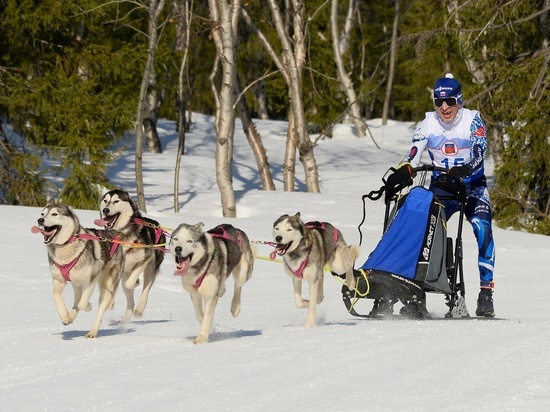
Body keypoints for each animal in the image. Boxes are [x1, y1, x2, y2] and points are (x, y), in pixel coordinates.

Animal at [32, 200, 124, 338]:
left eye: (54, 214)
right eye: (42, 213)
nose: (40, 220)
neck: (64, 246)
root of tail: (114, 235)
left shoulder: (92, 279)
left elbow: (82, 302)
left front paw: (89, 306)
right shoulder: (59, 280)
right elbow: (56, 296)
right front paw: (64, 315)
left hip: (106, 287)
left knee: (98, 309)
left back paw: (92, 332)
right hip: (77, 284)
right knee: (76, 302)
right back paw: (70, 317)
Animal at [96, 190, 166, 322]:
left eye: (116, 201)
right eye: (105, 200)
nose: (106, 210)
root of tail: (157, 224)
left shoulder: (146, 258)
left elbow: (130, 282)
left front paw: (136, 282)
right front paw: (110, 302)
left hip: (150, 270)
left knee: (143, 291)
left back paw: (139, 309)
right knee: (130, 302)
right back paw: (124, 320)